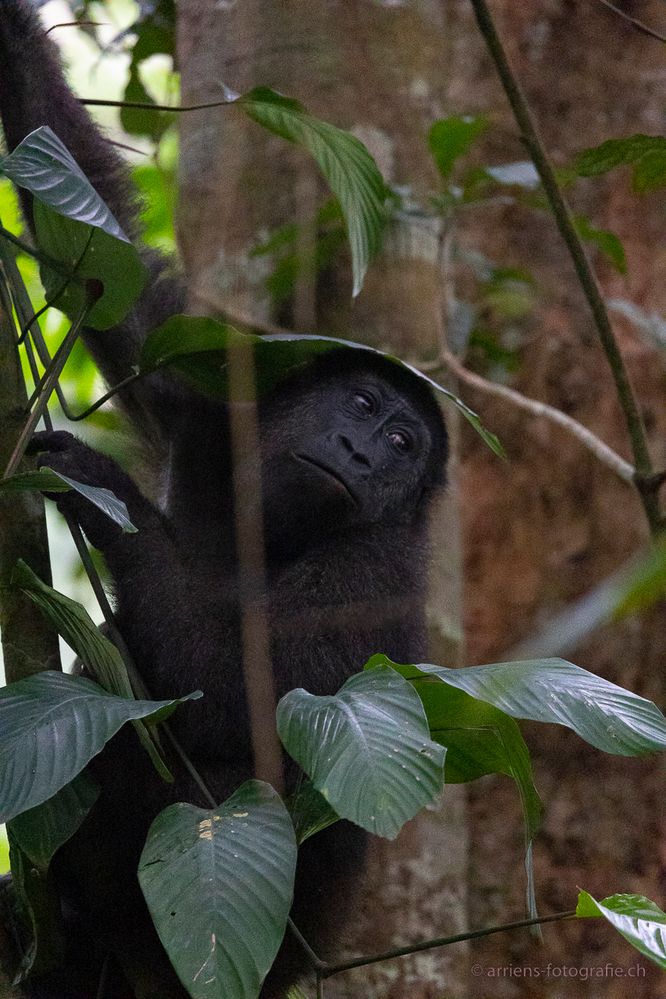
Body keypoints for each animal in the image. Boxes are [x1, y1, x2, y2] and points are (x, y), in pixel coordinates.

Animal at [0, 3, 448, 996]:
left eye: (404, 446)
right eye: (363, 406)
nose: (362, 451)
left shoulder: (380, 571)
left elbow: (239, 697)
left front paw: (104, 490)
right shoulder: (209, 411)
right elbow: (110, 271)